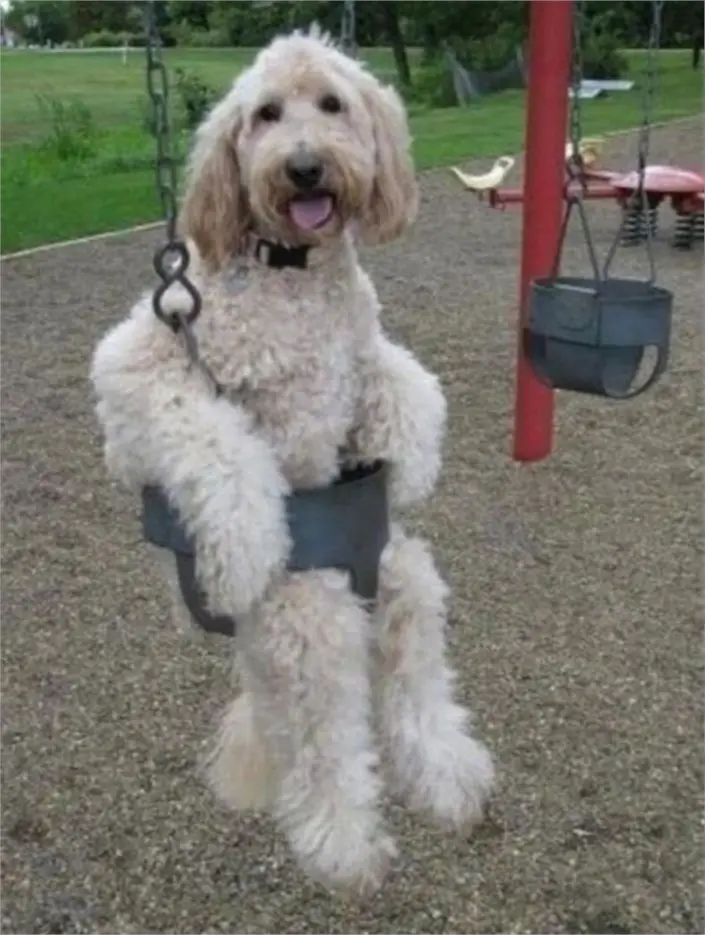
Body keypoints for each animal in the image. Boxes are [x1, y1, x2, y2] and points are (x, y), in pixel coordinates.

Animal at [89, 25, 496, 896]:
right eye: (266, 114)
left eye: (332, 105)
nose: (304, 166)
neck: (292, 272)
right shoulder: (137, 367)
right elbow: (214, 438)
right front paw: (243, 548)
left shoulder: (362, 345)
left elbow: (405, 381)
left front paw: (411, 456)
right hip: (307, 613)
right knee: (323, 733)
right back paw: (343, 840)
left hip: (399, 568)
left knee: (411, 665)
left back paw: (443, 772)